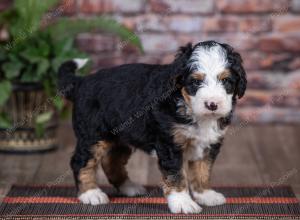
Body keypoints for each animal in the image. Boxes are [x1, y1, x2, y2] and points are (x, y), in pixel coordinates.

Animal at [58, 40, 246, 213]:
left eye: (226, 81)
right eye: (195, 82)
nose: (212, 104)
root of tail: (81, 82)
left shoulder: (208, 143)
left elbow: (203, 170)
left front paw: (205, 194)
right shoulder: (169, 144)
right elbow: (176, 174)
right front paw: (183, 203)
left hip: (121, 136)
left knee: (112, 161)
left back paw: (129, 187)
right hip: (93, 134)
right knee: (81, 161)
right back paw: (90, 193)